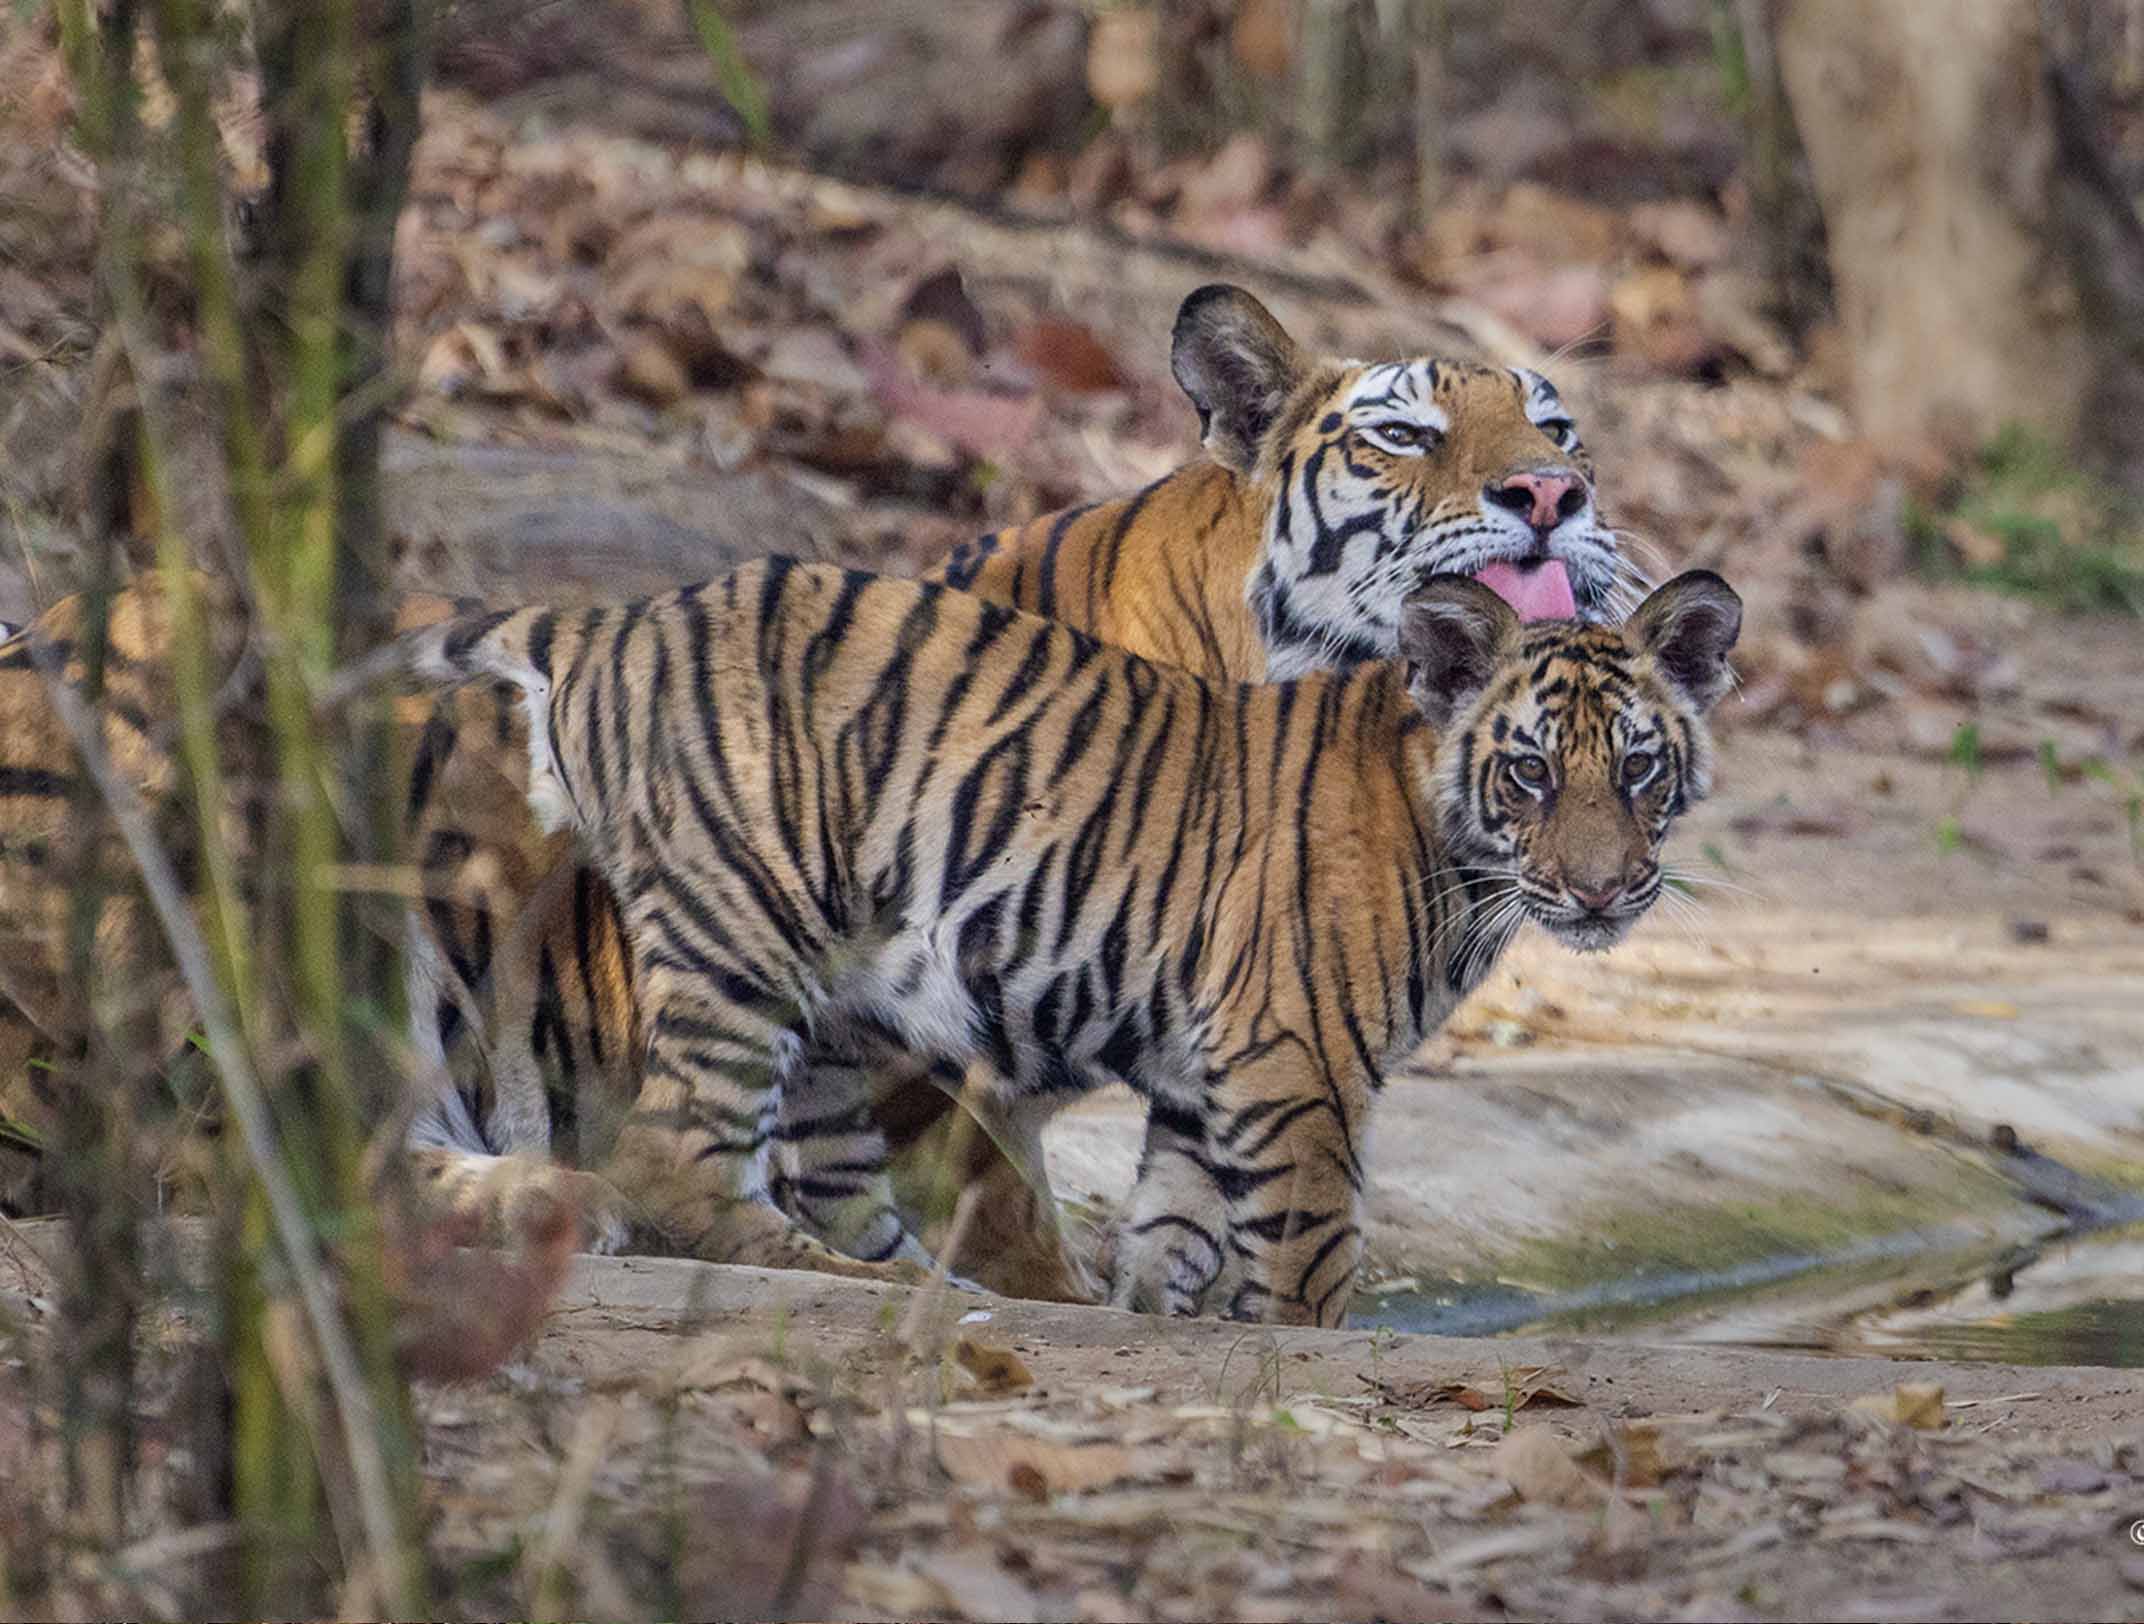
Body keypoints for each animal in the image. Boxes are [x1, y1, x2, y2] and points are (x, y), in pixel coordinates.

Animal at [338, 562, 1740, 1321]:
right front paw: (1307, 1342)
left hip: (831, 1008)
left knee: (824, 1171)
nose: (1604, 892)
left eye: (1635, 767)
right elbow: (1310, 1250)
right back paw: (851, 1280)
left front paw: (1160, 1315)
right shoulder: (1294, 1066)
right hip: (745, 924)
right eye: (1528, 773)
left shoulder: (1207, 1072)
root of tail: (615, 618)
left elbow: (1178, 1228)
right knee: (672, 1158)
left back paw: (934, 1285)